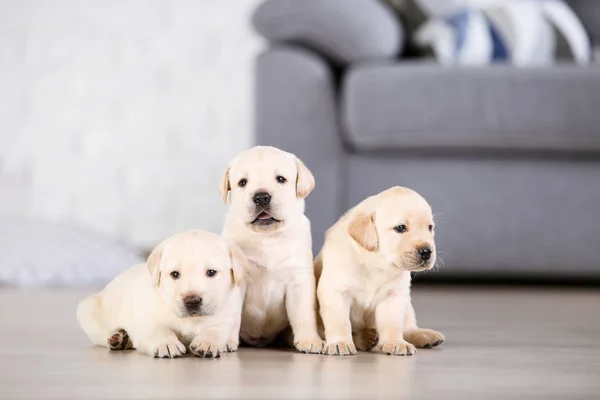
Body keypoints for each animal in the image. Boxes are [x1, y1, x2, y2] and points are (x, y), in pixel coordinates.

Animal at [77, 230, 246, 358]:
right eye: (175, 274)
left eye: (211, 272)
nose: (192, 300)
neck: (192, 320)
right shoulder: (148, 317)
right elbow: (159, 329)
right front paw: (167, 343)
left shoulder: (228, 315)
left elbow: (216, 330)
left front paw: (207, 342)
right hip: (88, 313)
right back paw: (118, 338)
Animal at [219, 146, 324, 354]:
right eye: (242, 182)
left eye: (281, 179)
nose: (261, 197)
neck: (267, 238)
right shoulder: (238, 280)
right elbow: (232, 315)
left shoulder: (298, 279)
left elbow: (304, 314)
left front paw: (309, 340)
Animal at [316, 187, 442, 356]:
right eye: (400, 228)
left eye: (430, 227)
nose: (427, 251)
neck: (375, 265)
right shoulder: (336, 292)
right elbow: (340, 322)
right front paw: (339, 342)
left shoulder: (393, 295)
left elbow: (393, 324)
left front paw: (396, 342)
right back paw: (365, 338)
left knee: (408, 327)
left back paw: (423, 335)